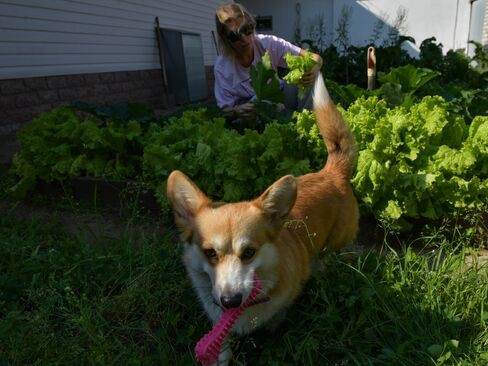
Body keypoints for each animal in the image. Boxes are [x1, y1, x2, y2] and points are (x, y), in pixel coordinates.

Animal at [168, 73, 358, 364]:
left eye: (249, 252)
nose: (231, 301)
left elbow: (276, 322)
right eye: (210, 253)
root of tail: (332, 172)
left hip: (337, 243)